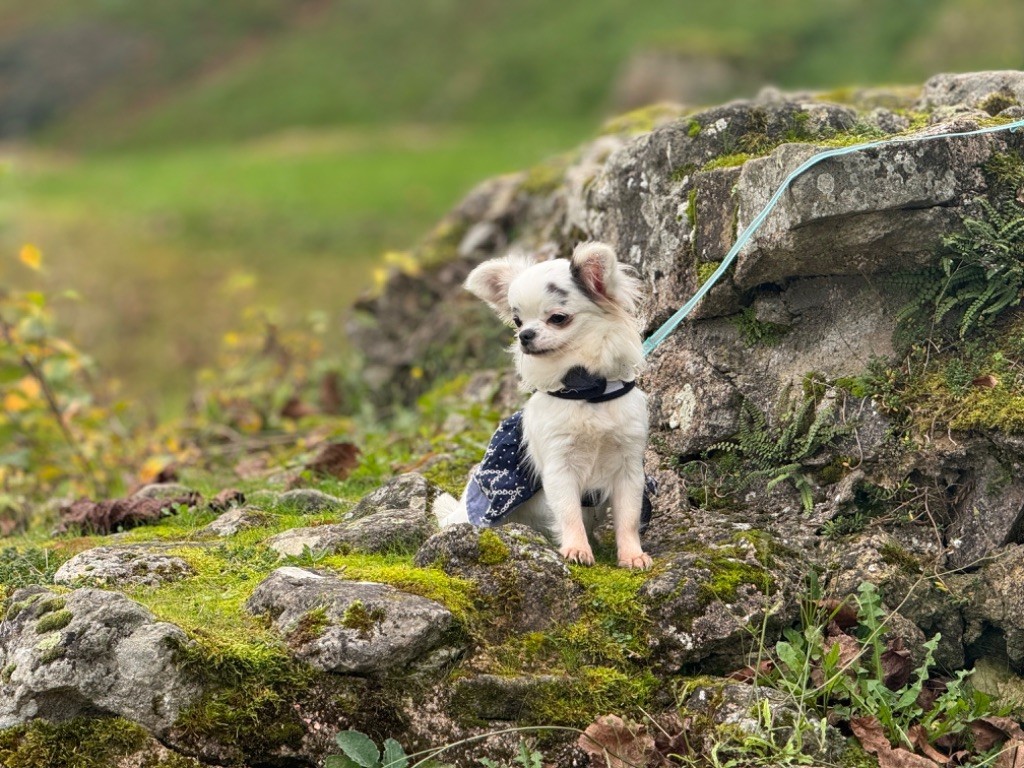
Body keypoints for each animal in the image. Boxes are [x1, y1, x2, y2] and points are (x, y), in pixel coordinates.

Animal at [438, 241, 647, 573]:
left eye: (558, 318)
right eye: (517, 322)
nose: (525, 335)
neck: (586, 391)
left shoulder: (629, 469)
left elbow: (627, 517)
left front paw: (632, 555)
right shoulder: (559, 467)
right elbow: (569, 512)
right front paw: (576, 550)